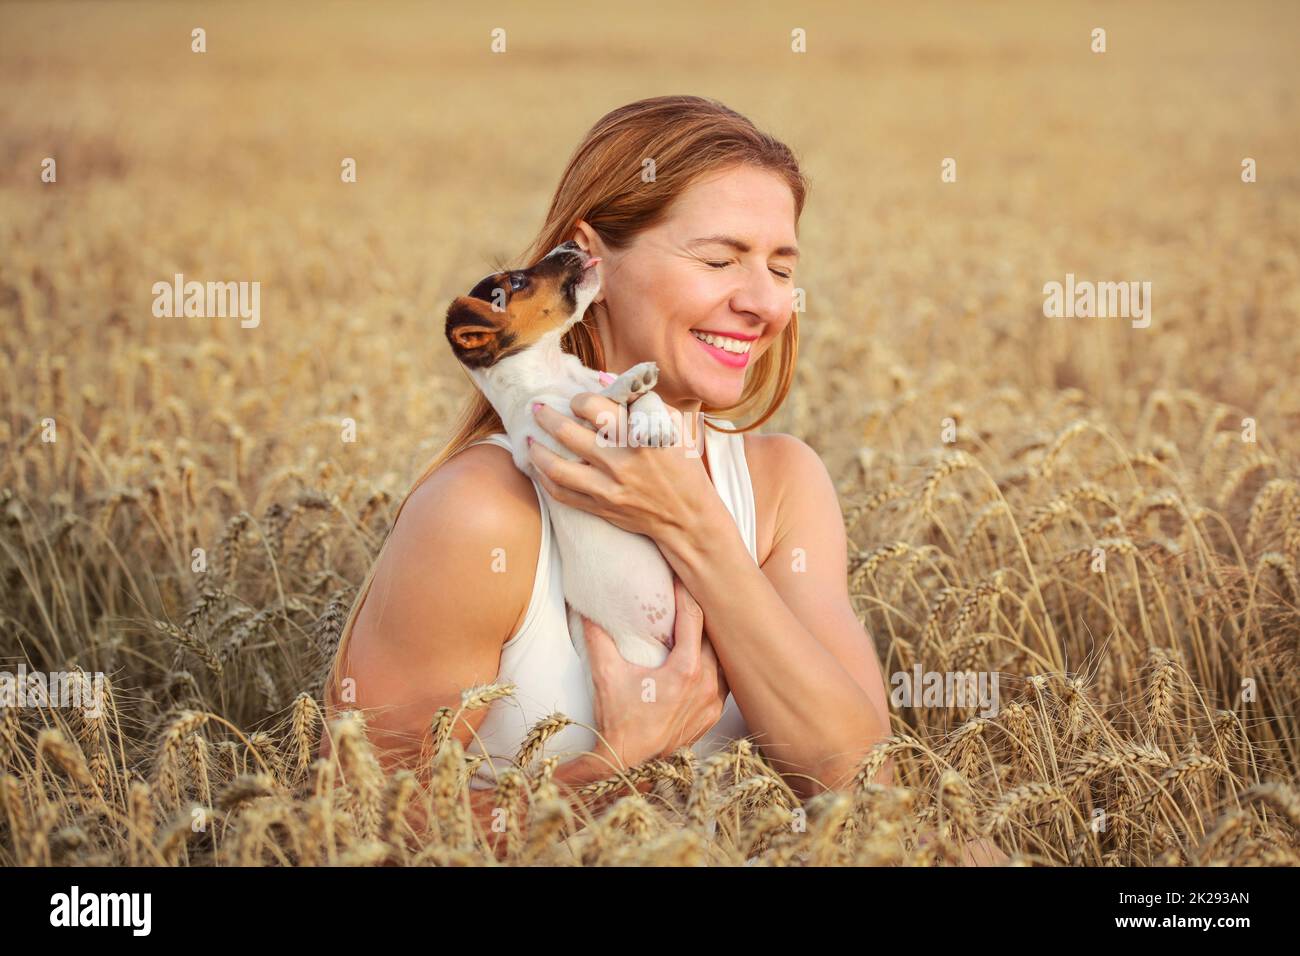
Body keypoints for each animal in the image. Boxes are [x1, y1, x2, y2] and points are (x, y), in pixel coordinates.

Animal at [444, 235, 696, 691]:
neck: (555, 373)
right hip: (641, 655)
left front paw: (652, 416)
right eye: (516, 281)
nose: (569, 243)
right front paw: (626, 383)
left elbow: (637, 396)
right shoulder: (546, 437)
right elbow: (586, 404)